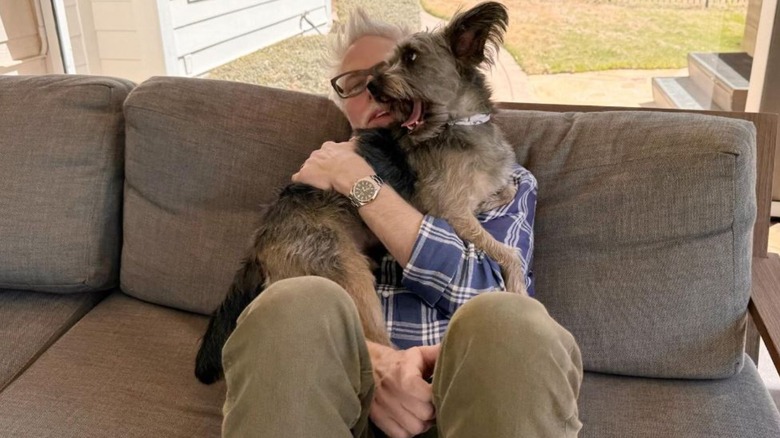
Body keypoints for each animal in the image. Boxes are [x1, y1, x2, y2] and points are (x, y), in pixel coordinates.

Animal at [194, 0, 524, 384]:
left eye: (411, 57)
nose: (372, 85)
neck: (457, 127)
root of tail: (261, 240)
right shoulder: (448, 211)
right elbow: (508, 251)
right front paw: (519, 287)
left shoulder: (479, 197)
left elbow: (508, 189)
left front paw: (493, 198)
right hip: (346, 271)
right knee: (376, 343)